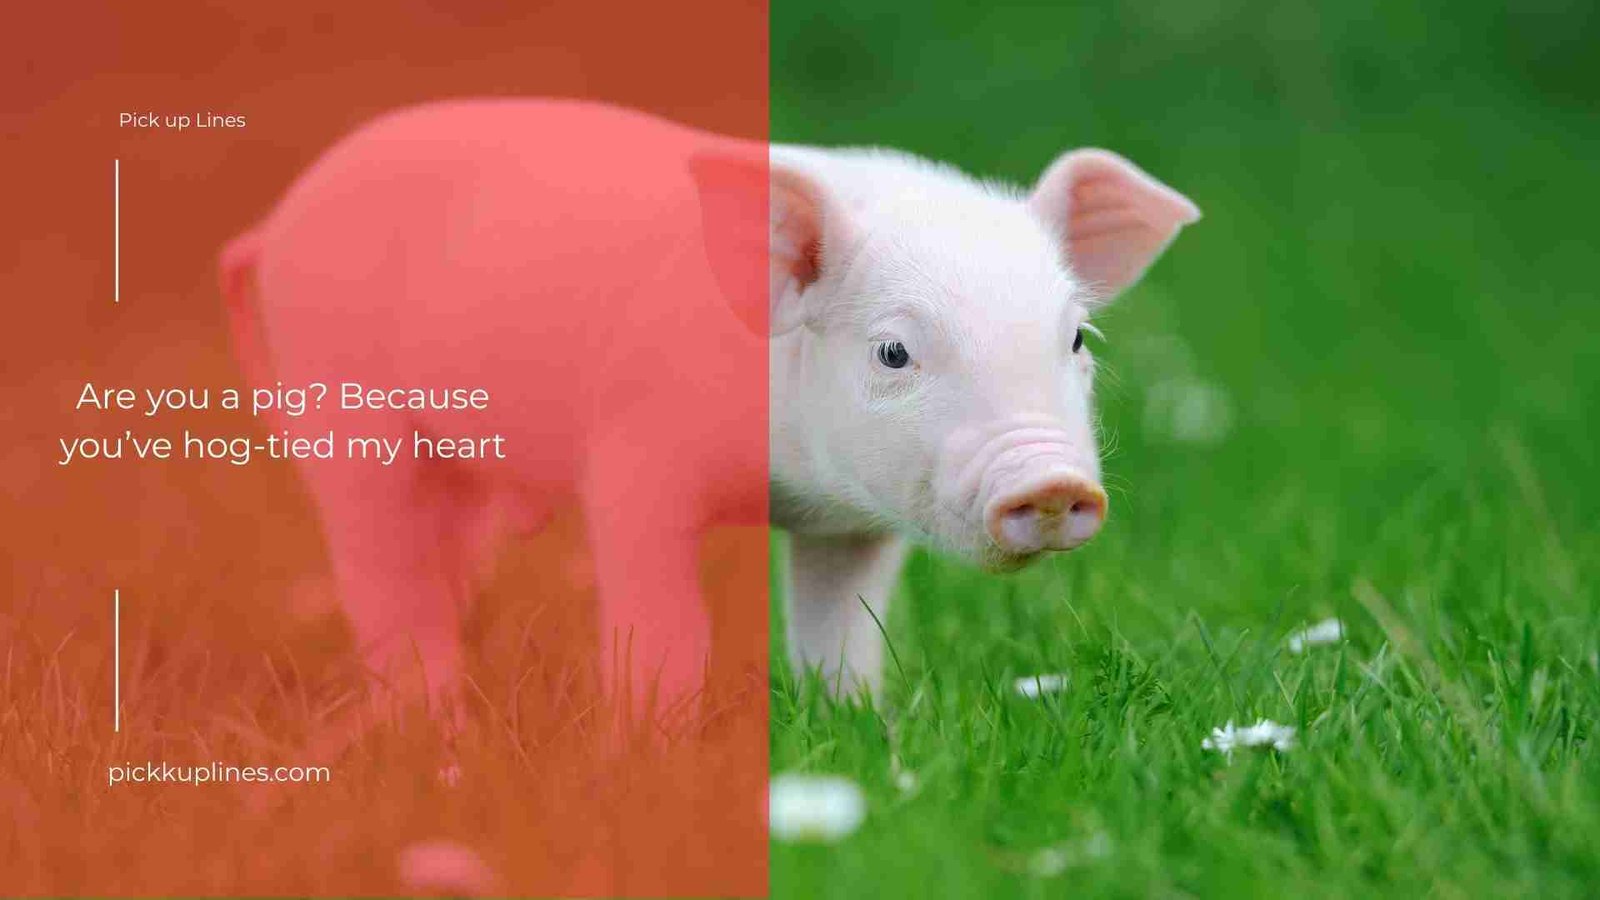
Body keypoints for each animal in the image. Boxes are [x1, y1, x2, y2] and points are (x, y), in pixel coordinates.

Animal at [220, 99, 1198, 724]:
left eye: (1077, 339)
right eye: (893, 352)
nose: (1052, 480)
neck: (786, 486)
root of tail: (275, 226)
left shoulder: (853, 525)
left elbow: (842, 633)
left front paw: (852, 730)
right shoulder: (634, 456)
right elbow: (667, 625)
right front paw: (655, 744)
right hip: (340, 404)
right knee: (378, 567)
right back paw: (435, 722)